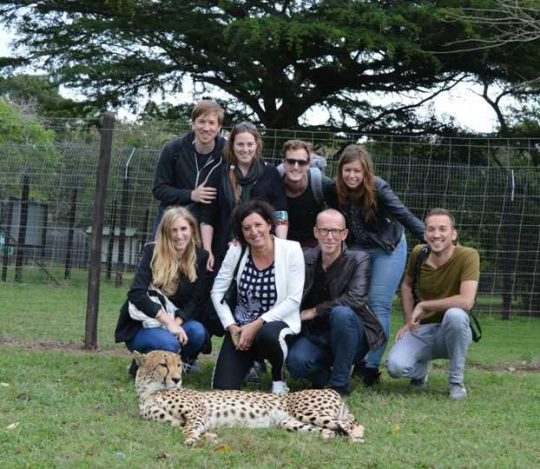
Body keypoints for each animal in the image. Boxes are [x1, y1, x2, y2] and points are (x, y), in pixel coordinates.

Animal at [132, 350, 365, 446]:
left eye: (178, 364)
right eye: (163, 364)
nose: (177, 379)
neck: (150, 392)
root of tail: (331, 390)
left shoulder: (197, 414)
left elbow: (189, 429)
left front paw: (192, 439)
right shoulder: (180, 421)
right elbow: (192, 428)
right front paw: (209, 438)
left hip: (307, 411)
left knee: (353, 425)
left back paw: (356, 437)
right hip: (289, 423)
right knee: (333, 430)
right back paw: (333, 437)